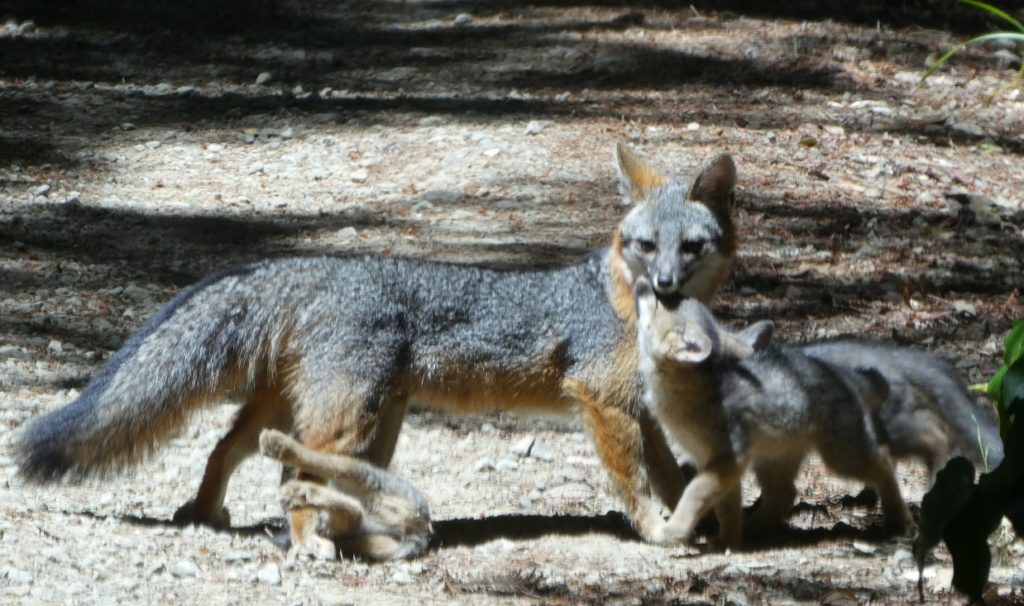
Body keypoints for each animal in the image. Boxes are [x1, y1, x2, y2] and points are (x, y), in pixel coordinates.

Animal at [634, 281, 913, 549]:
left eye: (659, 303)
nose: (646, 282)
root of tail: (842, 373)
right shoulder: (717, 462)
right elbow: (726, 506)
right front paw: (727, 541)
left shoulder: (730, 457)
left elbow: (694, 493)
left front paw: (674, 530)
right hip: (771, 460)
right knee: (785, 495)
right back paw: (753, 528)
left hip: (840, 458)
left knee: (884, 463)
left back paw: (900, 520)